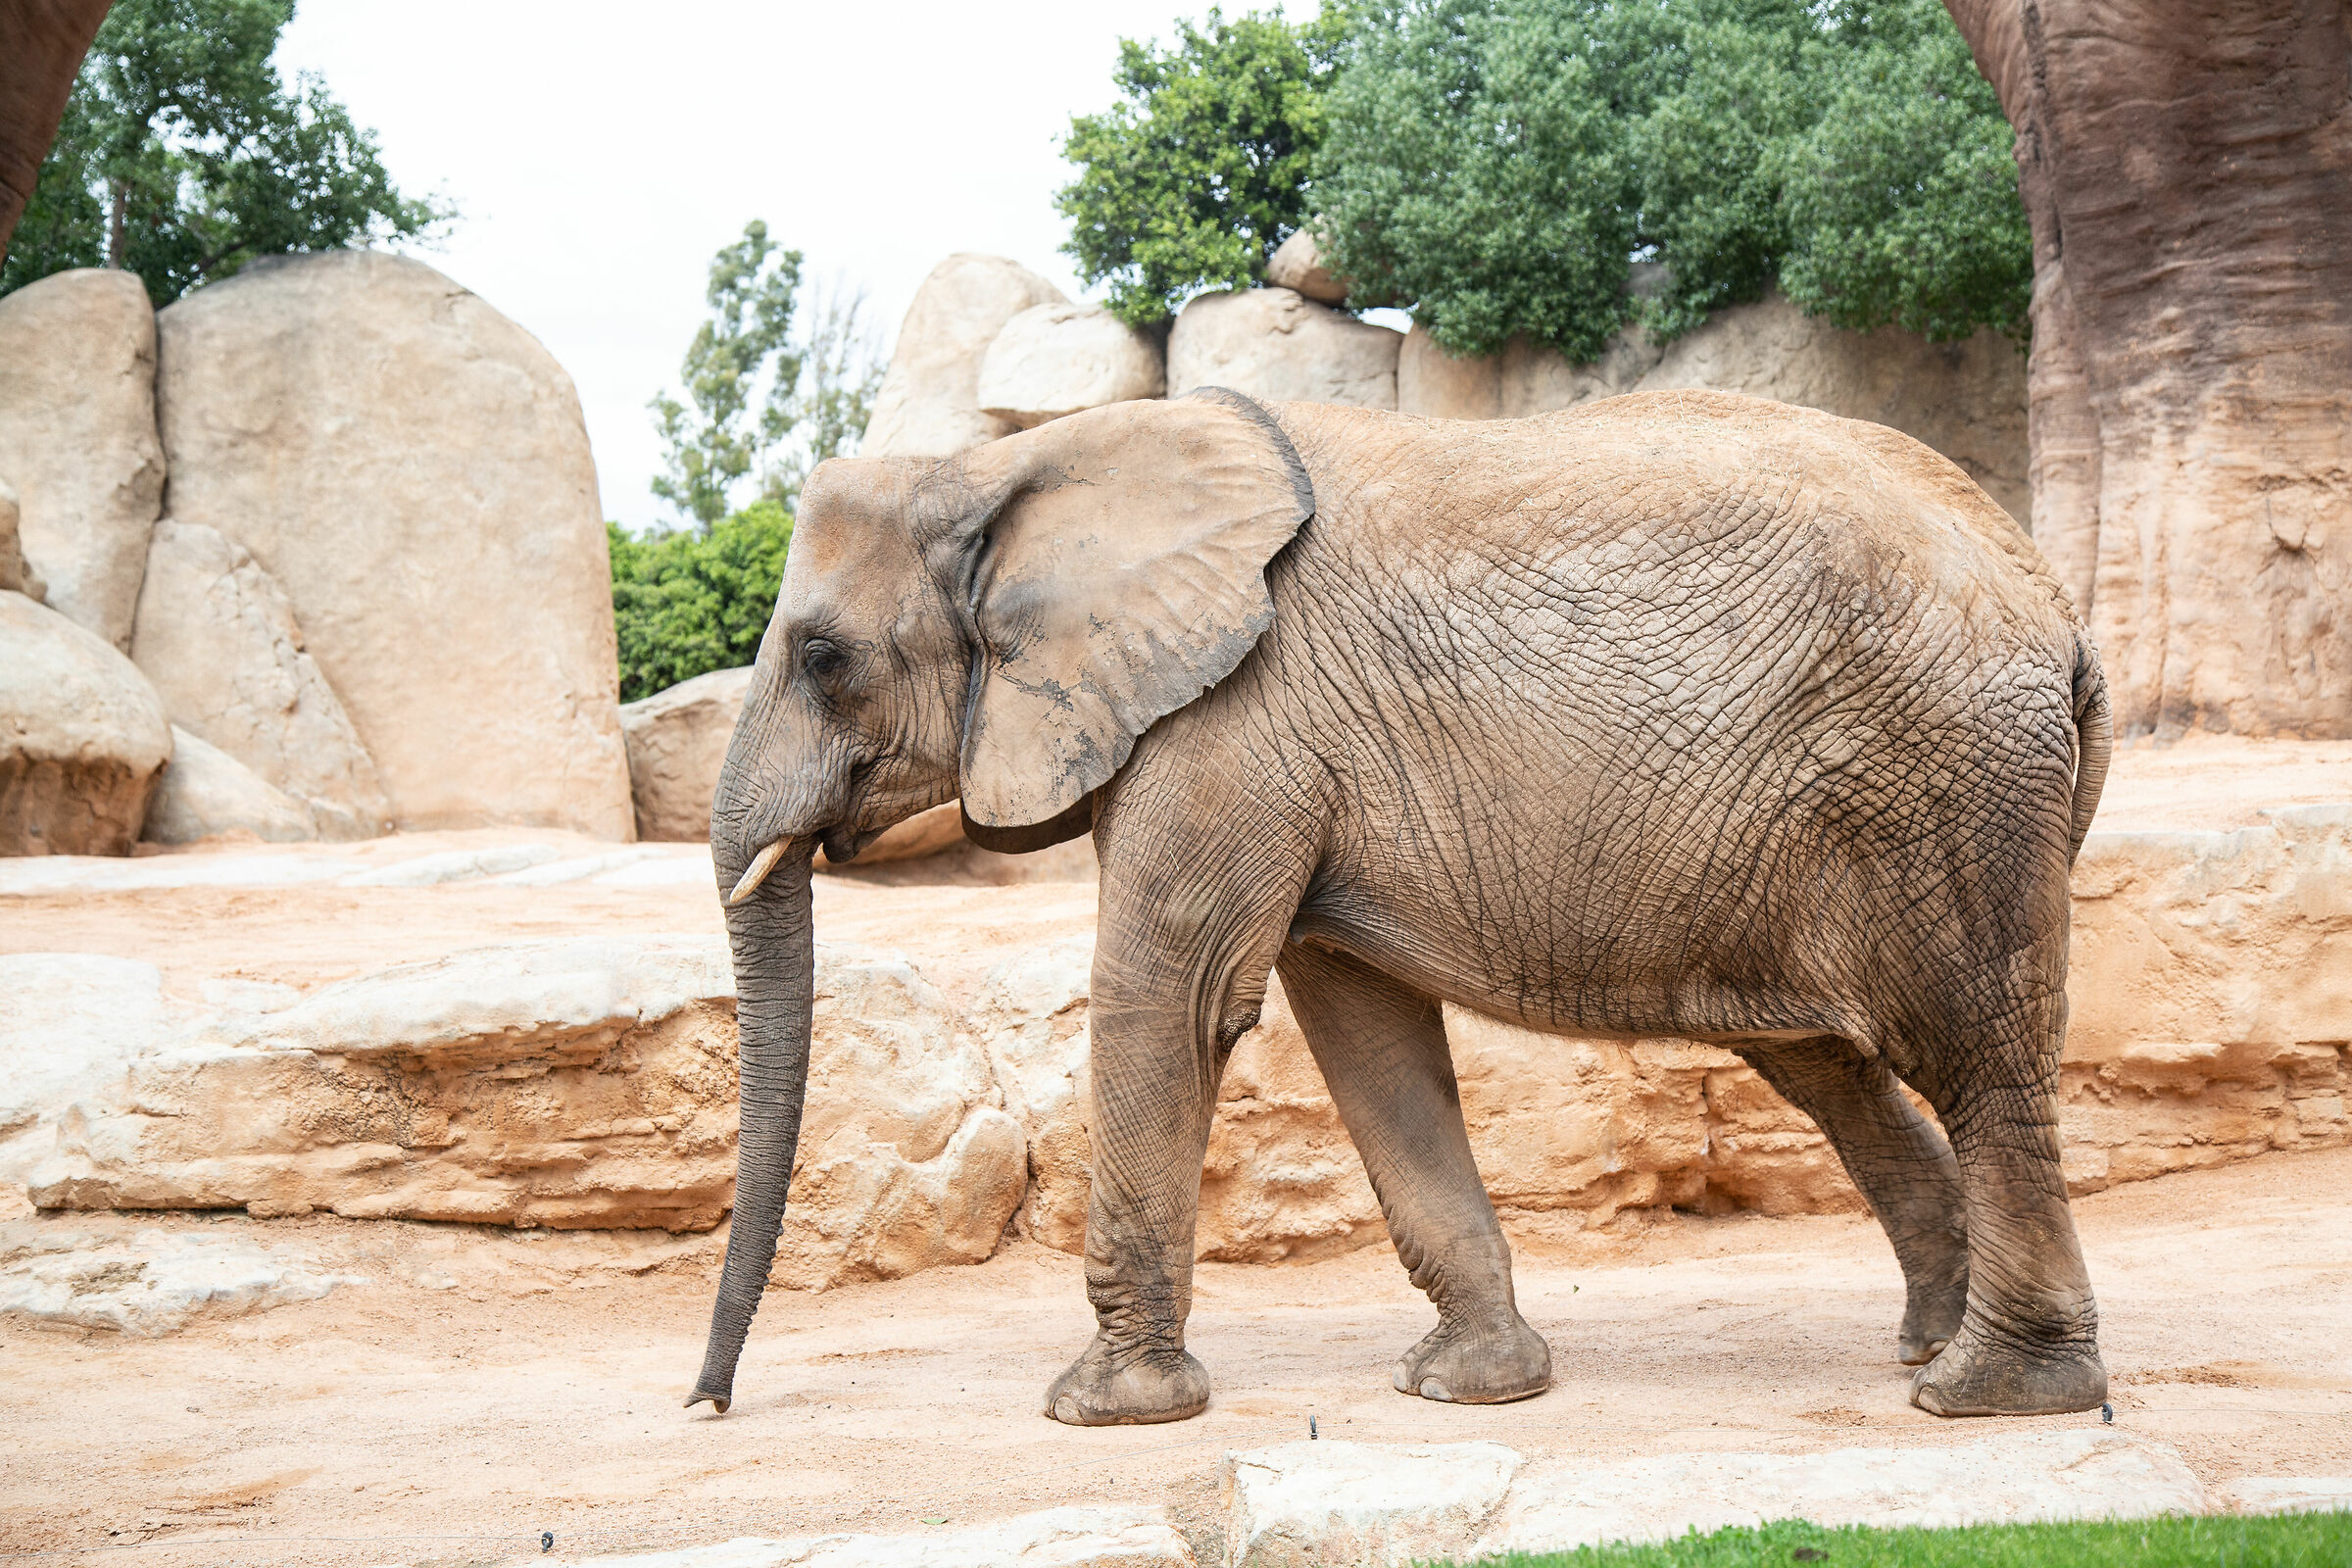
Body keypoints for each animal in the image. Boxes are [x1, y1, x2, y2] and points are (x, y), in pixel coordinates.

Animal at [687, 385, 2114, 1427]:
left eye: (823, 656)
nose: (708, 1405)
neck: (1014, 463)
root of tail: (2057, 599)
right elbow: (1364, 1034)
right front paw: (1472, 1388)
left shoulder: (1229, 723)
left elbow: (1171, 1005)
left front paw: (1103, 1411)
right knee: (1826, 1062)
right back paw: (1929, 1344)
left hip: (1947, 784)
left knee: (1975, 1061)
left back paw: (1991, 1393)